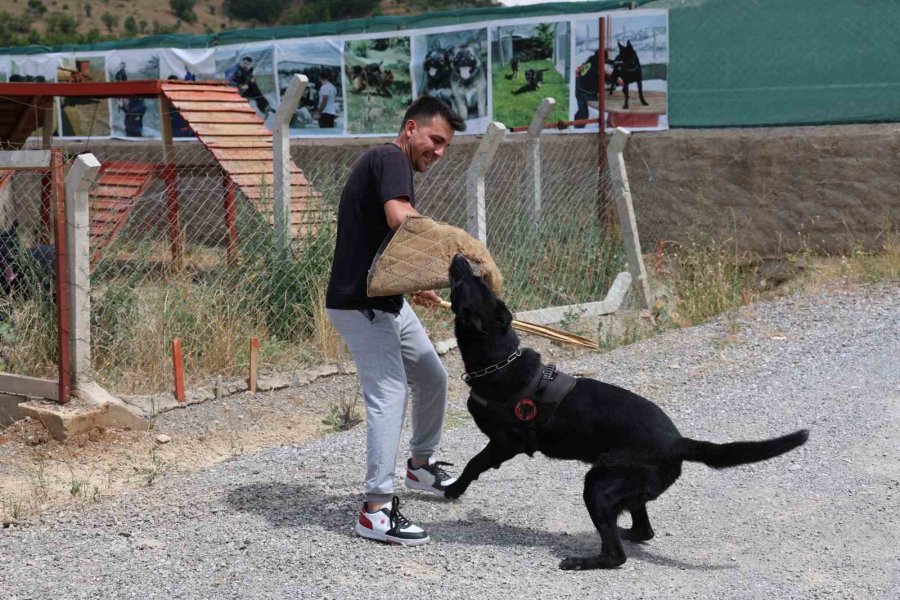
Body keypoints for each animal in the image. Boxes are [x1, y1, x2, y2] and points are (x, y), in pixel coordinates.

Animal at [446, 254, 812, 572]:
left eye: (470, 280)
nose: (460, 257)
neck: (498, 359)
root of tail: (678, 442)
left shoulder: (505, 443)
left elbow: (474, 463)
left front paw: (453, 489)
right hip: (625, 488)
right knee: (641, 530)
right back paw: (617, 533)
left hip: (598, 484)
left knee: (617, 554)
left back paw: (584, 560)